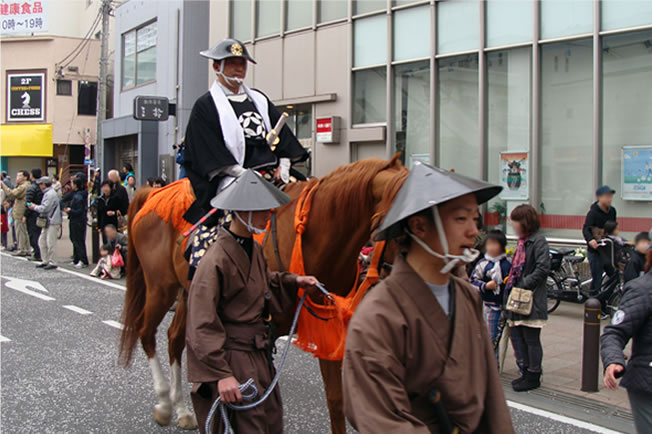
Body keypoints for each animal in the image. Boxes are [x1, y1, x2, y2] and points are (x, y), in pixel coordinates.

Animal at [118, 156, 408, 430]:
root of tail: (154, 193)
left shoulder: (329, 330)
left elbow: (336, 402)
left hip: (189, 293)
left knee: (175, 338)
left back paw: (182, 410)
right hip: (160, 286)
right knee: (146, 332)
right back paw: (165, 404)